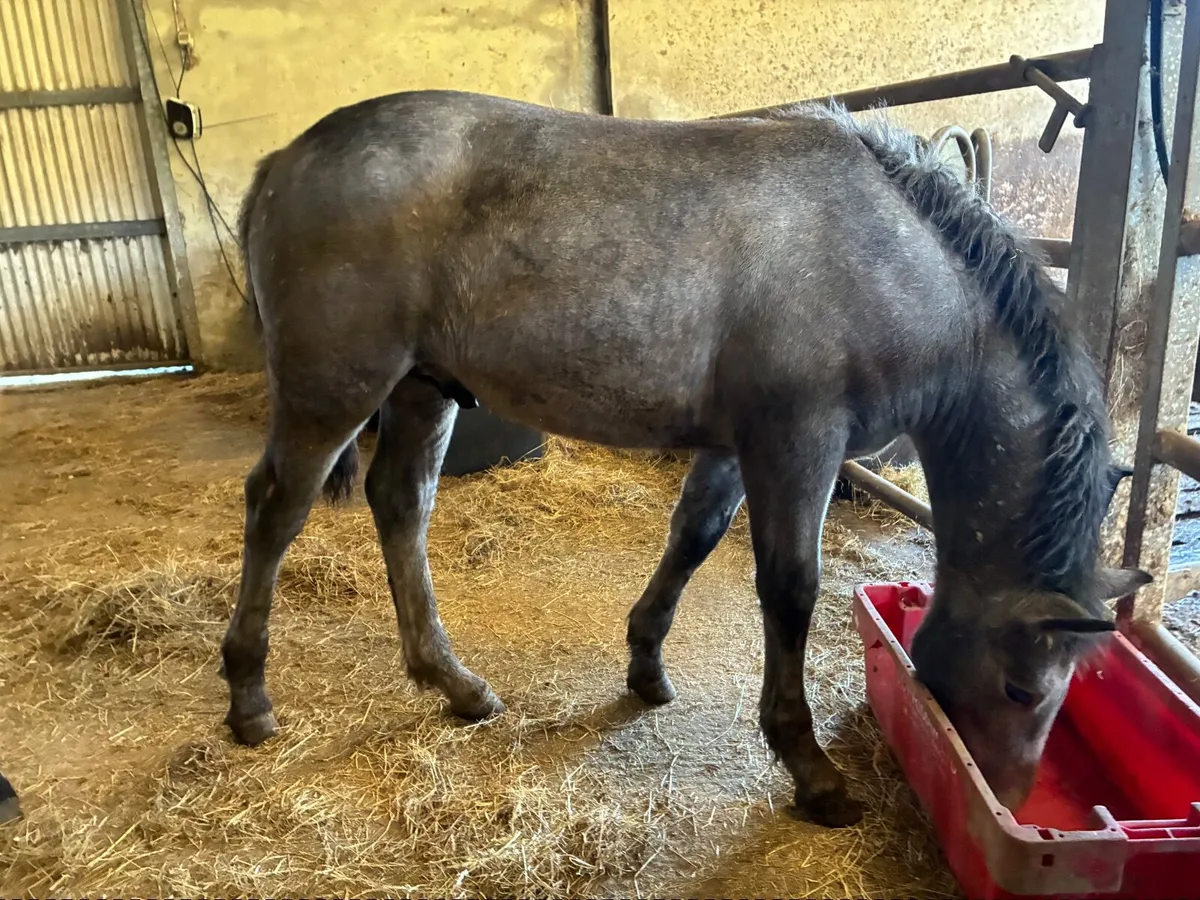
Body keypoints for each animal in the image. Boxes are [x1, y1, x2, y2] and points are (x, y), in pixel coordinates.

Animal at [224, 90, 1150, 828]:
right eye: (1025, 691)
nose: (1012, 803)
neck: (892, 259)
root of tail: (287, 158)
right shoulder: (797, 444)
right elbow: (790, 588)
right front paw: (809, 766)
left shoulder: (735, 448)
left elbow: (692, 540)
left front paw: (645, 665)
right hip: (335, 391)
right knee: (275, 509)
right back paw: (249, 698)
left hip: (422, 388)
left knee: (401, 504)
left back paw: (453, 683)